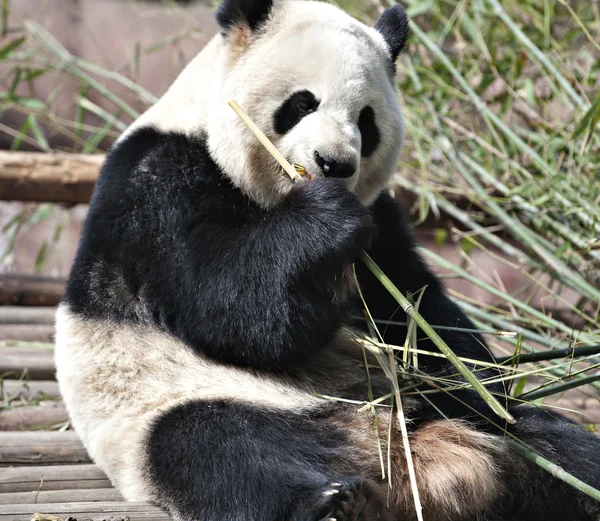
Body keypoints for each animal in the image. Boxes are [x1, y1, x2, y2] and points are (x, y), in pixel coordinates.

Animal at [54, 1, 596, 520]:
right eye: (302, 103)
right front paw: (325, 217)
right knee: (218, 450)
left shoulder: (382, 220)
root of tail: (399, 459)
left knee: (555, 445)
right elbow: (231, 305)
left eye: (366, 120)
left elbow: (416, 307)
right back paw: (329, 504)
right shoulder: (158, 183)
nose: (334, 164)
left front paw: (474, 375)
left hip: (440, 414)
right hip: (176, 405)